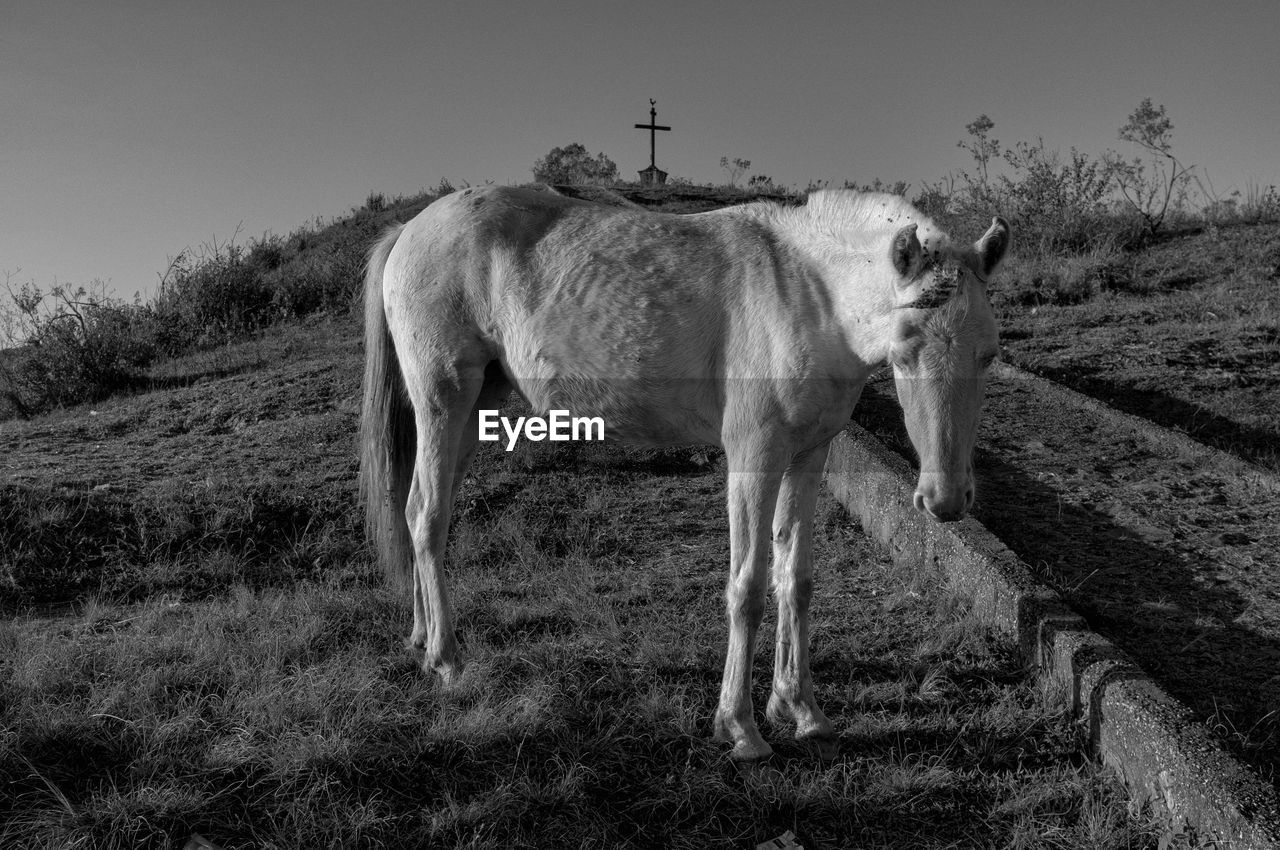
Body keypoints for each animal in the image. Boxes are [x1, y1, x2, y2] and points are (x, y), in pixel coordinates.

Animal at [360, 184, 1008, 757]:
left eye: (989, 354)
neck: (807, 293)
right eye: (905, 352)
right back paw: (446, 659)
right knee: (428, 517)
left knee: (422, 512)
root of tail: (408, 230)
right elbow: (748, 586)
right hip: (443, 402)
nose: (946, 499)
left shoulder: (807, 458)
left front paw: (801, 710)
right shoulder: (753, 458)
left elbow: (795, 578)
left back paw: (421, 638)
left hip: (473, 410)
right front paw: (740, 728)